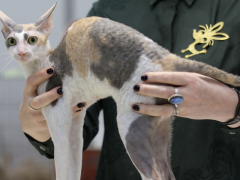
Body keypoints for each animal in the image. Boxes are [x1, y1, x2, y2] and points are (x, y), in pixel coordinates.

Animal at [0, 3, 240, 180]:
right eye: (11, 41)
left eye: (32, 39)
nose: (21, 53)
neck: (45, 63)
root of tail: (166, 56)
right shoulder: (75, 118)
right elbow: (75, 162)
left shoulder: (58, 116)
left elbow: (63, 165)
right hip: (158, 125)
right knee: (166, 174)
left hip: (131, 122)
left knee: (152, 175)